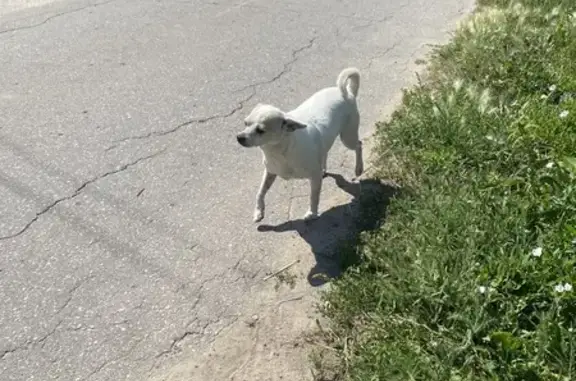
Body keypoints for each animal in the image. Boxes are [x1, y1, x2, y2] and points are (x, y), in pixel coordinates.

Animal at [235, 68, 362, 221]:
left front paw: (312, 213)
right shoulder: (270, 172)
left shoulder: (314, 177)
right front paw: (259, 211)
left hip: (348, 138)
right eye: (245, 123)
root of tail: (346, 93)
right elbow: (260, 192)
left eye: (261, 130)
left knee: (358, 145)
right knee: (325, 151)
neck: (279, 151)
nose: (239, 137)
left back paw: (359, 168)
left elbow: (314, 196)